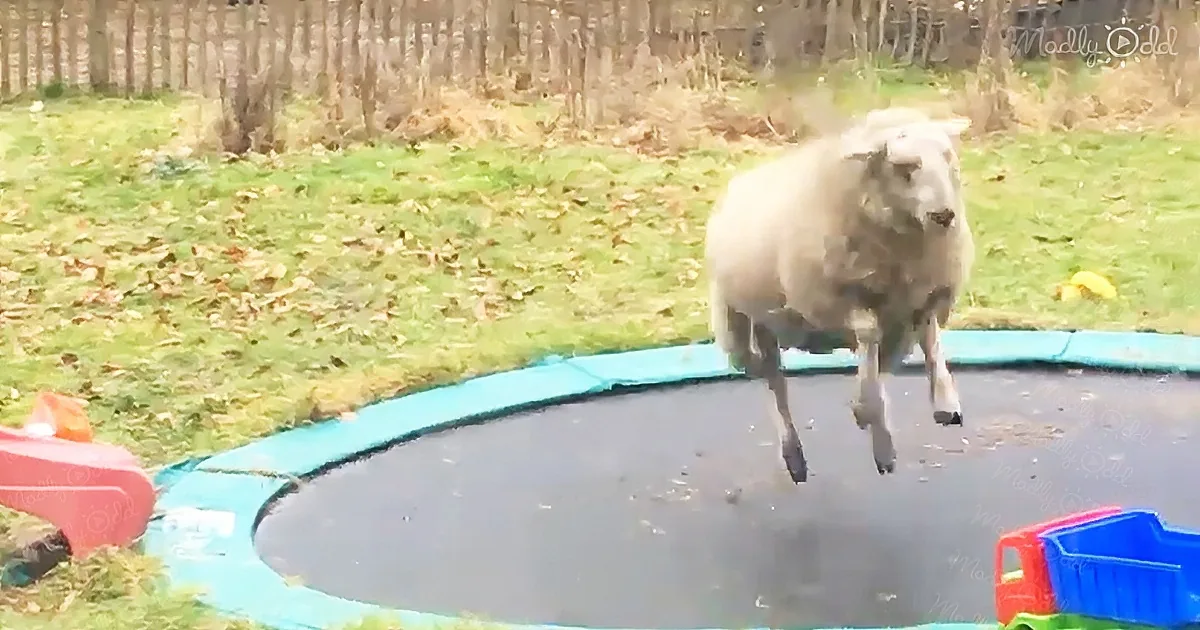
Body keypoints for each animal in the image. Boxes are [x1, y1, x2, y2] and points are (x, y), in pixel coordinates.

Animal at [704, 108, 974, 483]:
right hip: (734, 320)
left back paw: (798, 456)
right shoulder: (838, 299)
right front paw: (874, 427)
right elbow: (869, 336)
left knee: (776, 378)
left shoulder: (920, 297)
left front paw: (942, 403)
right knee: (766, 378)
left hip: (769, 321)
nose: (944, 215)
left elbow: (924, 340)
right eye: (902, 168)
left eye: (948, 157)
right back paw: (794, 454)